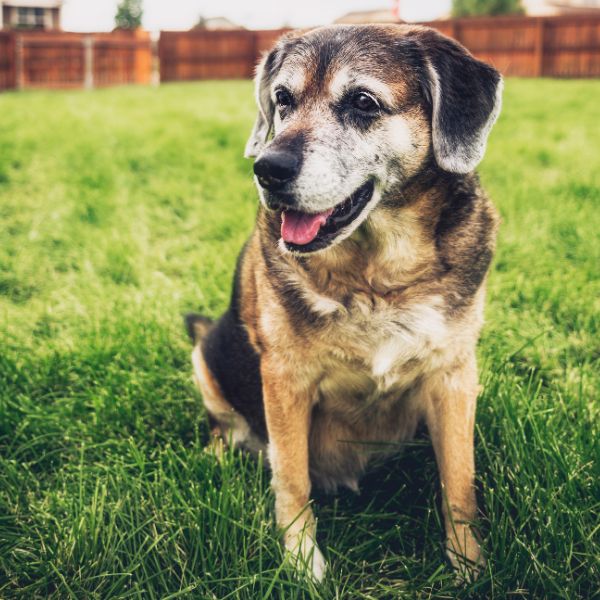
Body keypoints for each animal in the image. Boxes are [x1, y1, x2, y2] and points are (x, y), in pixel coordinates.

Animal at [186, 23, 502, 580]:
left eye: (362, 102)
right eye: (282, 99)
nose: (267, 168)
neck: (378, 277)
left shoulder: (454, 376)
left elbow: (459, 483)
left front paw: (469, 565)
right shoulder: (285, 382)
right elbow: (292, 478)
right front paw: (301, 564)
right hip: (205, 359)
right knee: (224, 427)